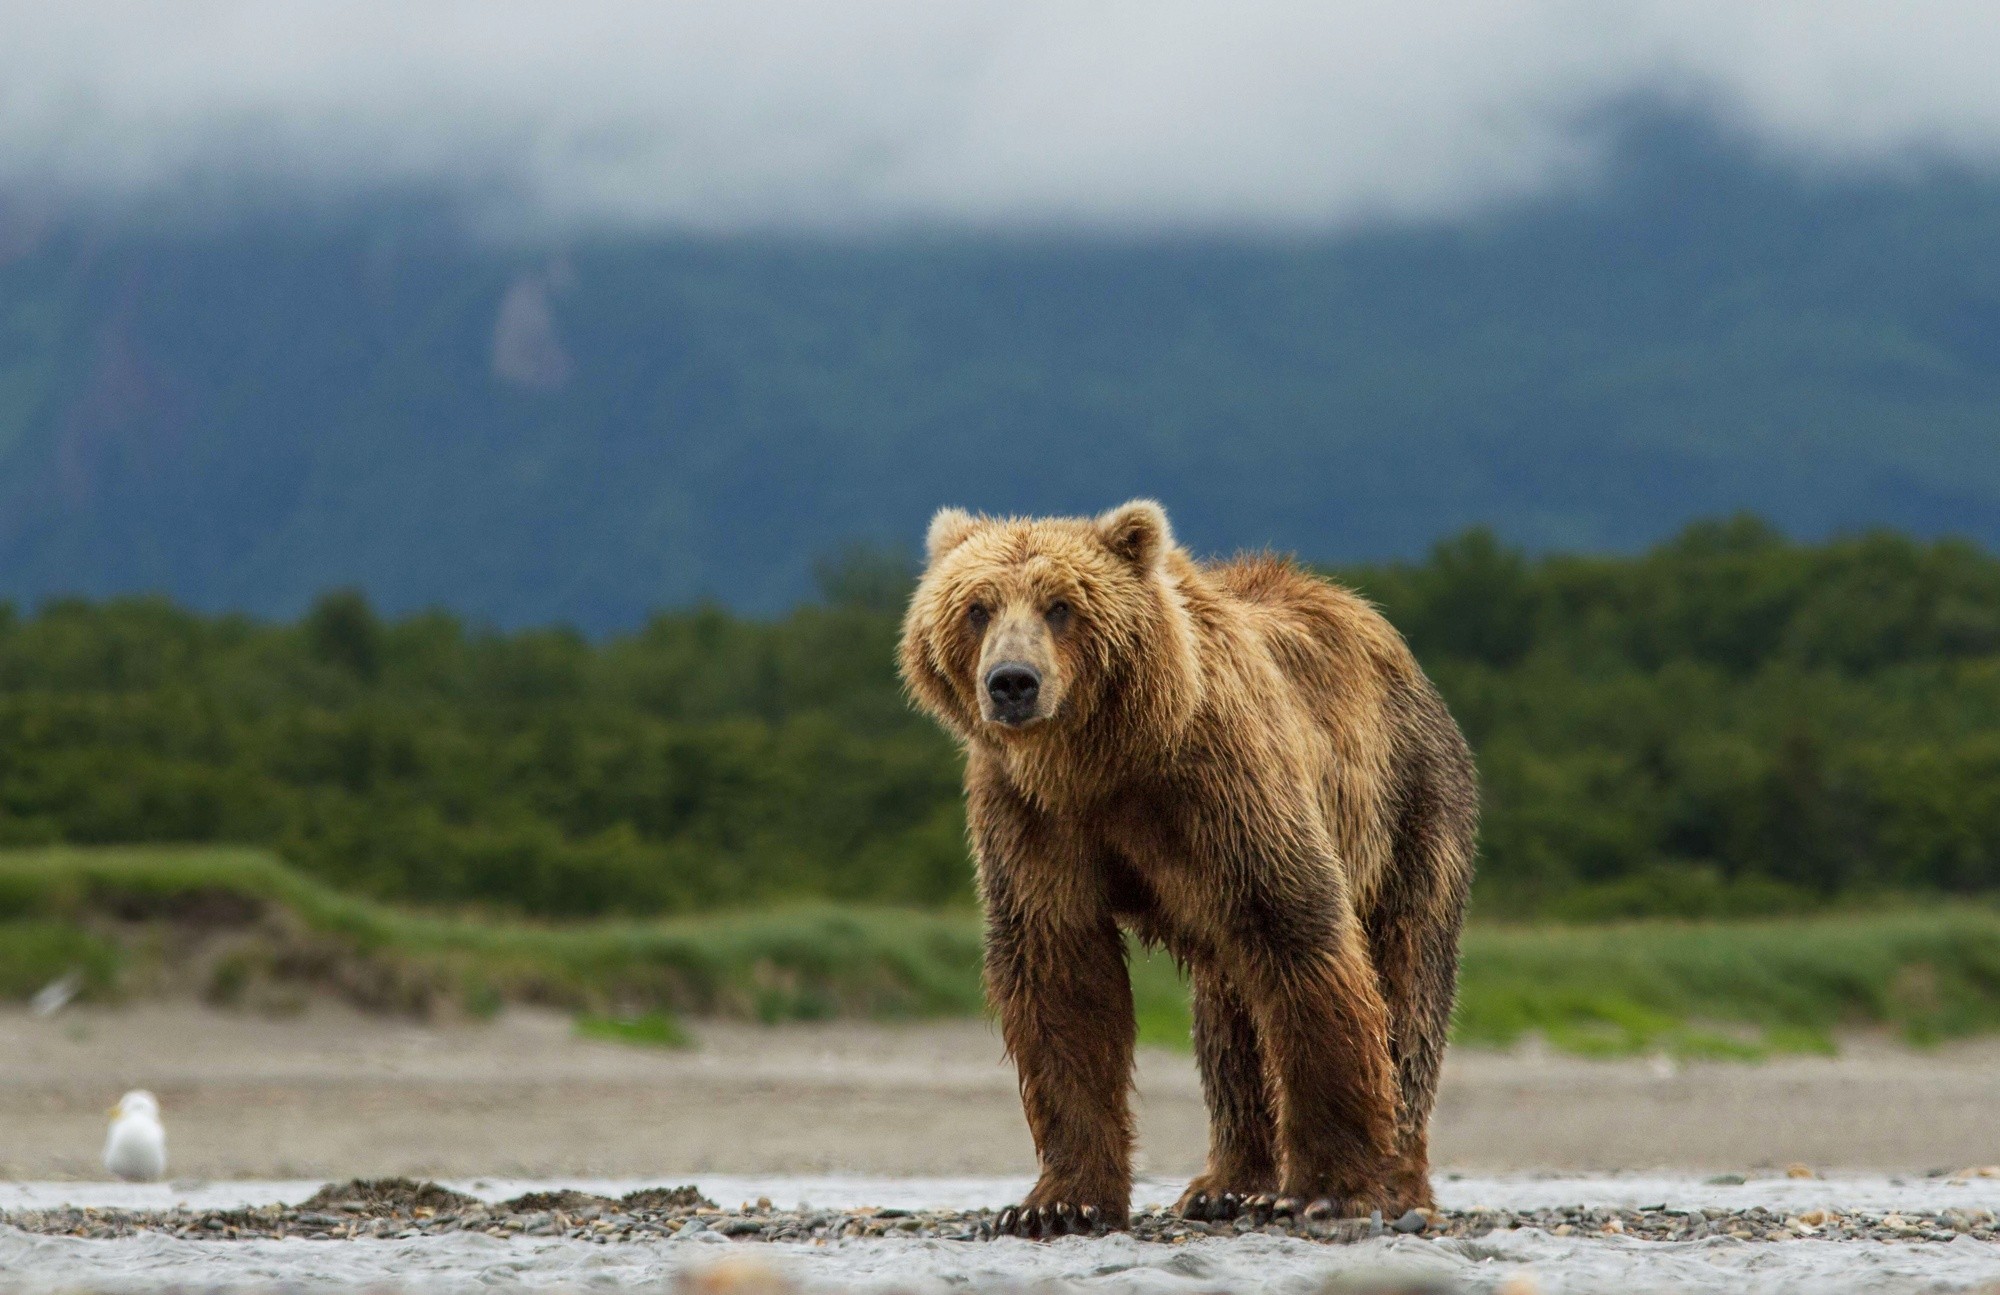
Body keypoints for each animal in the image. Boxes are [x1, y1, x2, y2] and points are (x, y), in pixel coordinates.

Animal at [900, 495, 1480, 1231]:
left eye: (1061, 605)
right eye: (977, 607)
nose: (1012, 683)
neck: (1102, 762)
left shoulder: (1221, 785)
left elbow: (1300, 933)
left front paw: (1328, 1186)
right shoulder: (1031, 817)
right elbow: (1060, 973)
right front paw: (1059, 1201)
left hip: (1410, 807)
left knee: (1407, 983)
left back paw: (1396, 1179)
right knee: (1229, 1022)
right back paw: (1226, 1184)